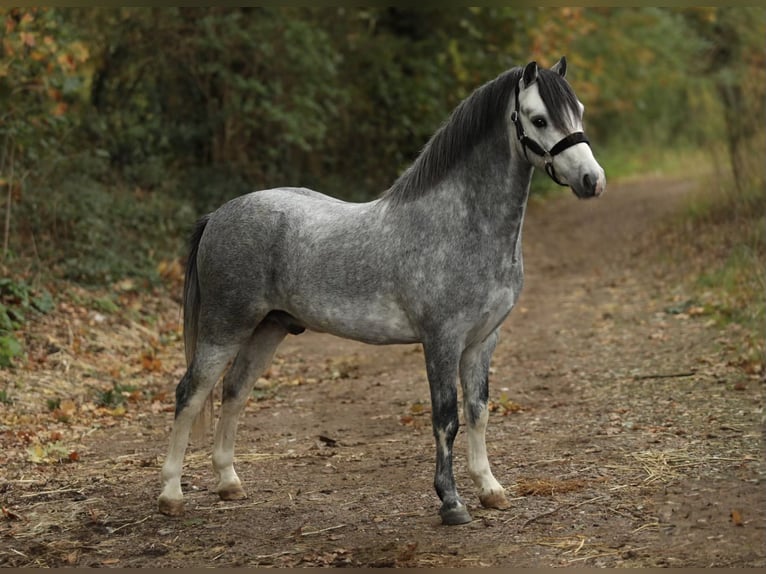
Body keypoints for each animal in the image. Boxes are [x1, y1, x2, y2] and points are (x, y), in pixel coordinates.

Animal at [157, 57, 606, 525]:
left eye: (579, 111)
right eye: (538, 119)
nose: (592, 180)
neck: (460, 224)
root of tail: (218, 215)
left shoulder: (483, 340)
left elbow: (478, 412)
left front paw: (490, 489)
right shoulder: (442, 340)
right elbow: (446, 418)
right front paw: (451, 502)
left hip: (268, 328)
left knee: (235, 390)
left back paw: (229, 483)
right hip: (224, 327)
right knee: (190, 393)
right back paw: (171, 495)